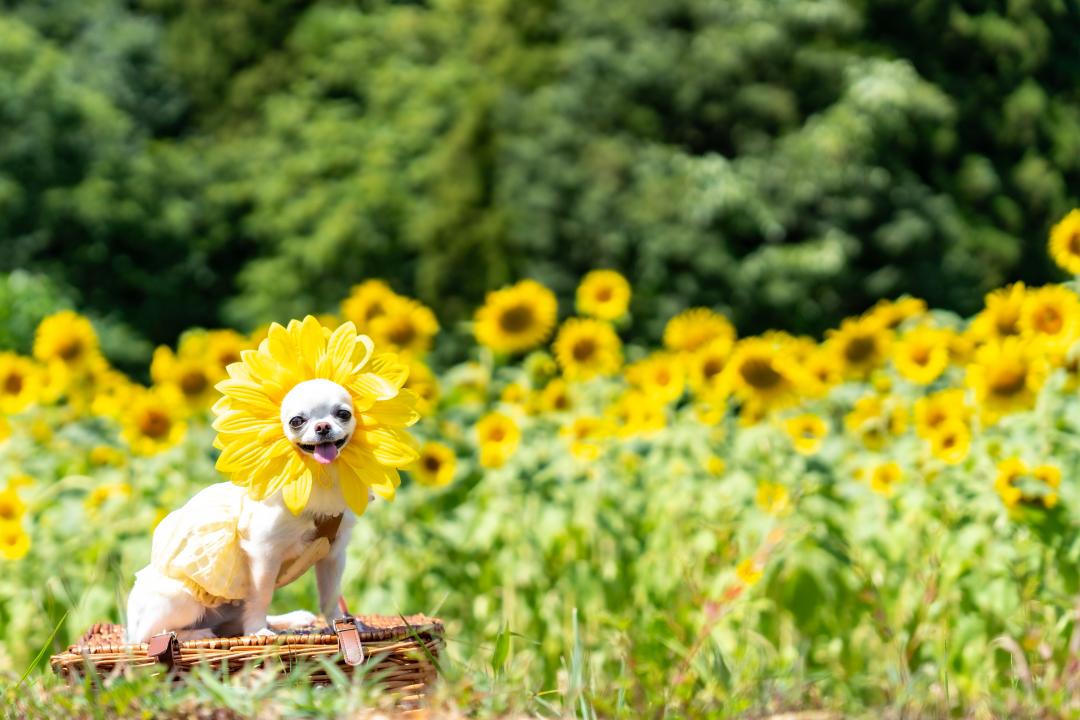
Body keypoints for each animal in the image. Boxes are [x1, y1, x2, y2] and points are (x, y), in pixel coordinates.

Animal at [125, 379, 362, 643]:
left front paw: (338, 624)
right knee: (151, 635)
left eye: (343, 414)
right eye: (296, 421)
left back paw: (289, 620)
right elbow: (262, 596)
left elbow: (330, 595)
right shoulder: (264, 555)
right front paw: (257, 631)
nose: (322, 426)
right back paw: (198, 633)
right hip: (182, 599)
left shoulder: (333, 554)